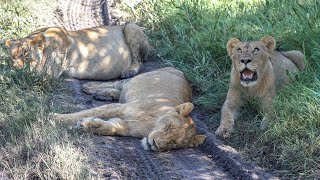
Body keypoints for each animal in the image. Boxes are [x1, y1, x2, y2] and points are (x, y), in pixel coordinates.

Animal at [5, 22, 149, 79]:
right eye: (12, 58)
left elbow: (20, 74)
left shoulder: (48, 73)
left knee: (139, 60)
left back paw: (129, 72)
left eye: (26, 56)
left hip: (131, 26)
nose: (16, 66)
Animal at [53, 67, 206, 151]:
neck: (151, 124)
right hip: (135, 79)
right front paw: (56, 118)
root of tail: (178, 70)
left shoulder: (125, 126)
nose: (155, 144)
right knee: (117, 83)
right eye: (168, 127)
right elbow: (87, 112)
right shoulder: (121, 108)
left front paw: (89, 125)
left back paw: (103, 94)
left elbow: (110, 128)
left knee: (118, 90)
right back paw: (90, 87)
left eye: (174, 144)